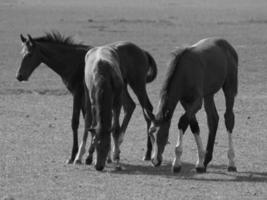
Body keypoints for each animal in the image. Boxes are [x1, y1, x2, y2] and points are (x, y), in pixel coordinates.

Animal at [16, 32, 158, 164]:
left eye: (29, 54)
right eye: (21, 53)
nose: (19, 76)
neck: (71, 59)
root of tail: (142, 51)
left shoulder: (78, 94)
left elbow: (76, 122)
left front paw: (74, 155)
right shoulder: (86, 97)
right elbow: (89, 121)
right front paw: (92, 152)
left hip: (137, 85)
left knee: (147, 110)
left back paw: (147, 152)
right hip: (123, 88)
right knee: (130, 106)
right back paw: (117, 147)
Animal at [149, 38, 239, 173]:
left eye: (163, 135)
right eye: (150, 135)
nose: (154, 161)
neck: (184, 72)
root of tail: (227, 44)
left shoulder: (196, 102)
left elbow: (182, 122)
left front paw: (177, 163)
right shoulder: (185, 102)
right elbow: (193, 125)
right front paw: (200, 162)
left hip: (229, 88)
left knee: (229, 118)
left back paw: (231, 162)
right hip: (208, 94)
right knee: (213, 119)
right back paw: (206, 160)